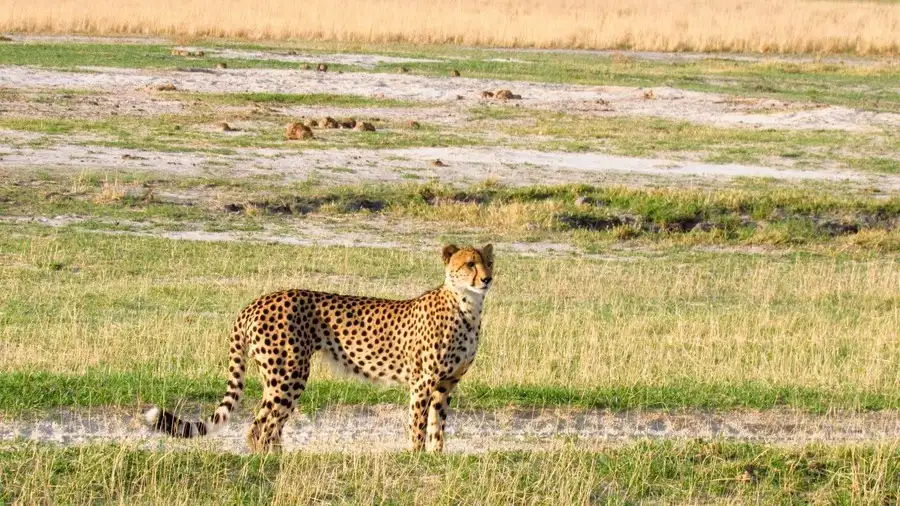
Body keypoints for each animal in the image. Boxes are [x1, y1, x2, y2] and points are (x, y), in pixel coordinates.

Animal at [144, 244, 494, 453]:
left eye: (489, 262)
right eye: (469, 264)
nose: (487, 279)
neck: (467, 306)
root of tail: (257, 301)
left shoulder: (446, 384)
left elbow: (438, 427)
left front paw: (436, 458)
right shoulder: (423, 382)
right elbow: (419, 425)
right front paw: (416, 459)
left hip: (280, 377)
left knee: (269, 425)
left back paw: (279, 458)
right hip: (289, 374)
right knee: (260, 426)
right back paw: (271, 462)